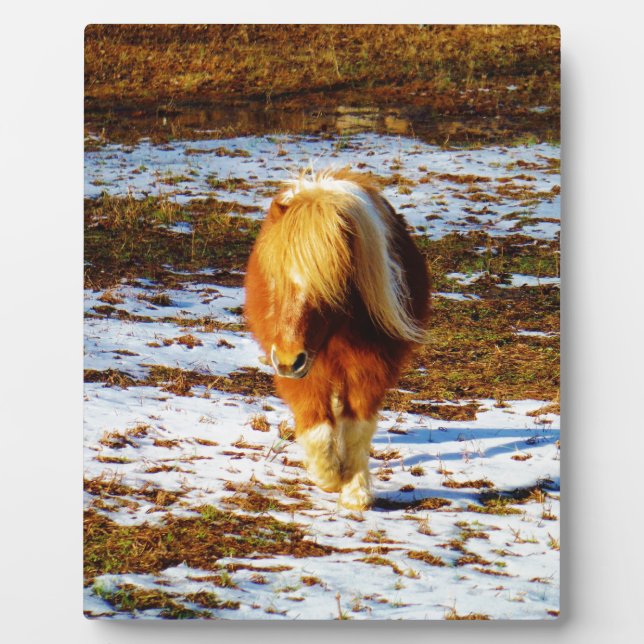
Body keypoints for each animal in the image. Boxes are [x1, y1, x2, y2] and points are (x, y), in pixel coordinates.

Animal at [244, 167, 430, 510]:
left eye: (330, 286)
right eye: (275, 279)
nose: (289, 360)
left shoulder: (371, 369)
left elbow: (356, 428)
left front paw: (355, 490)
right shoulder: (302, 372)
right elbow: (316, 425)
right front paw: (328, 476)